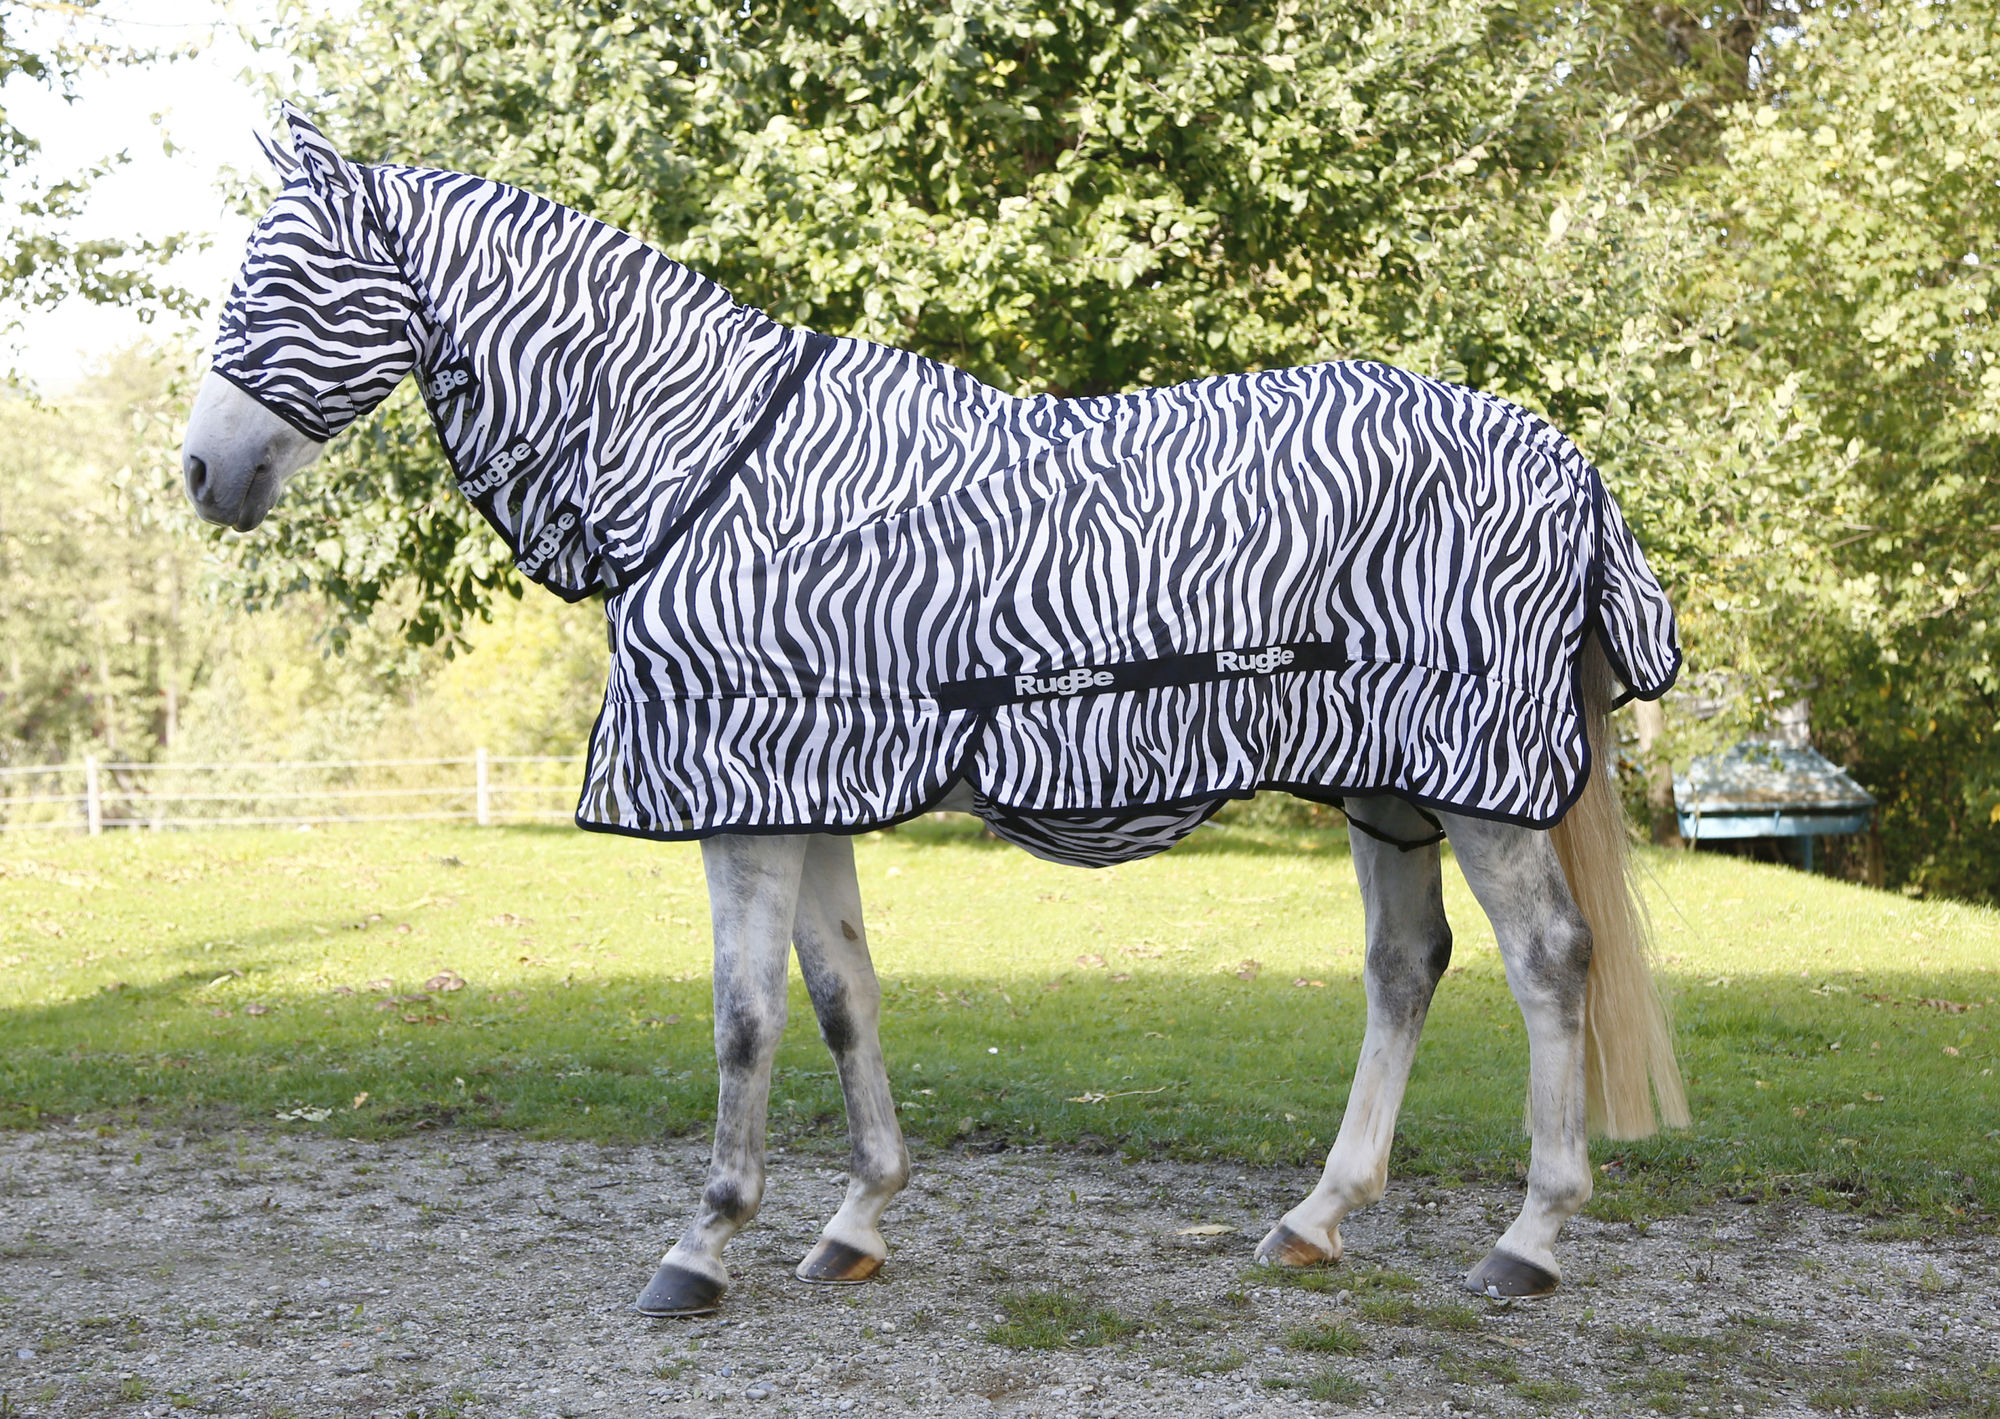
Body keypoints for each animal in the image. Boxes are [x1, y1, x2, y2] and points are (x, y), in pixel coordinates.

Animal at [183, 106, 1690, 1316]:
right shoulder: (802, 783)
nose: (203, 473)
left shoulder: (744, 792)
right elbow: (843, 997)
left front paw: (701, 1248)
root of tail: (1566, 460)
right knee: (1406, 963)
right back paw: (1316, 1219)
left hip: (1474, 777)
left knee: (1548, 961)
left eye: (283, 280)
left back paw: (1530, 1240)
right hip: (1390, 782)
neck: (703, 463)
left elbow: (745, 1018)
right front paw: (854, 1221)